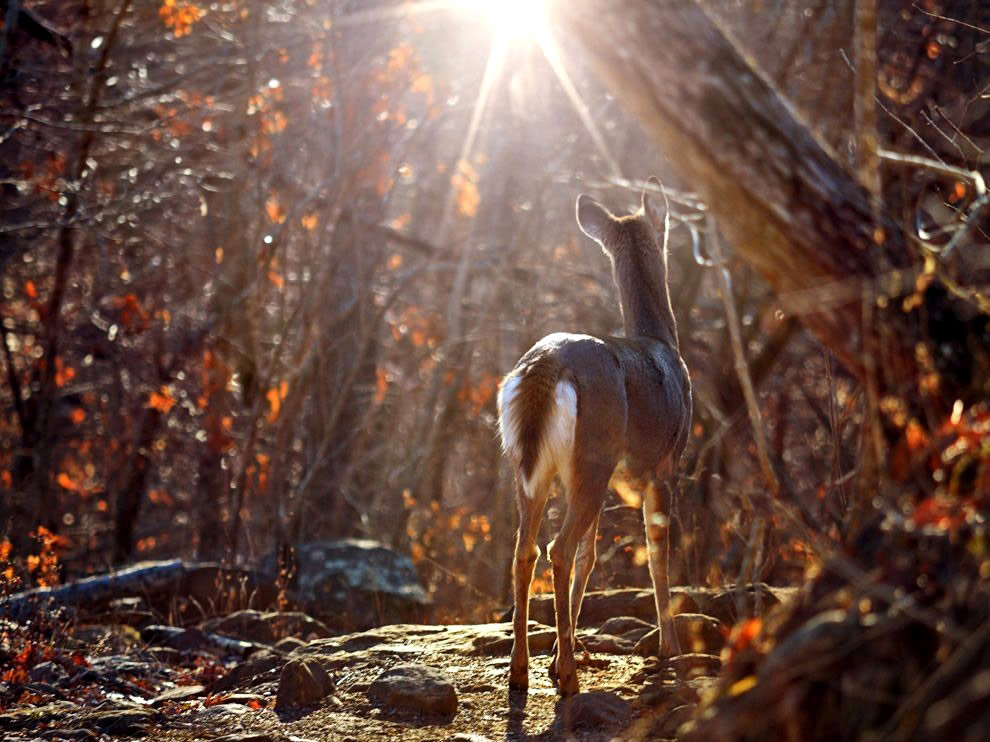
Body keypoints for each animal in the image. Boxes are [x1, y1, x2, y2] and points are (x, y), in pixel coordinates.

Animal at [496, 179, 688, 696]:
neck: (662, 341)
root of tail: (546, 365)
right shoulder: (664, 465)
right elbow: (657, 553)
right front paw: (669, 648)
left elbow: (592, 554)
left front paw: (557, 652)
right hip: (594, 454)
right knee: (557, 548)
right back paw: (568, 677)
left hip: (533, 466)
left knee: (525, 550)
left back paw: (522, 670)